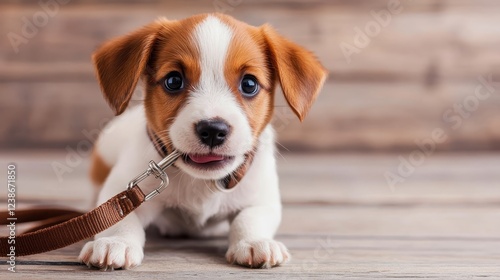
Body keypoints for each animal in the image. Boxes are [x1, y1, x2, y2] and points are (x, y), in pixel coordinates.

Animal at [78, 12, 328, 270]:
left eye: (249, 84)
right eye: (173, 81)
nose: (213, 130)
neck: (201, 181)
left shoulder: (261, 198)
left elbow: (249, 218)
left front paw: (255, 242)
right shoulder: (125, 190)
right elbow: (120, 218)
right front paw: (115, 241)